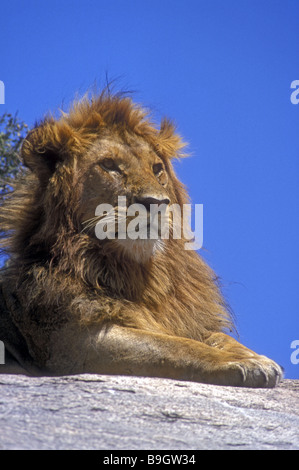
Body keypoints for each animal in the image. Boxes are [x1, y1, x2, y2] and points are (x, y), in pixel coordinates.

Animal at [0, 91, 282, 386]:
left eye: (157, 169)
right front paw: (242, 362)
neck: (139, 273)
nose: (156, 202)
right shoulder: (72, 342)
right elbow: (174, 346)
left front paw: (254, 356)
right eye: (109, 165)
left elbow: (211, 336)